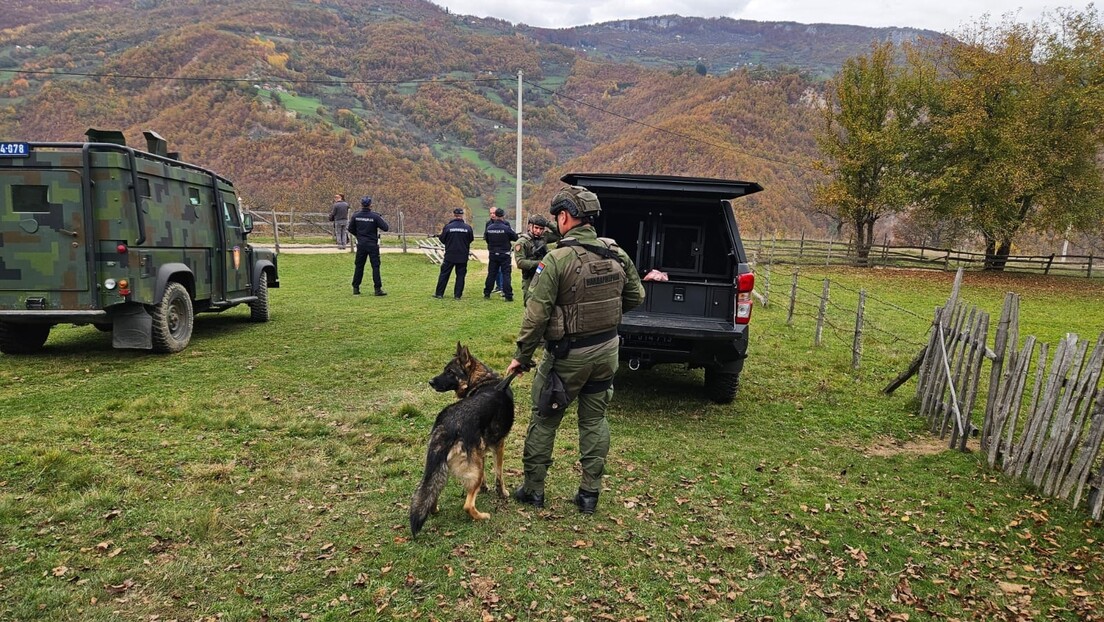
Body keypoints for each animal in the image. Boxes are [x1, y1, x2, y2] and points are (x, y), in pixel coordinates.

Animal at [410, 342, 516, 536]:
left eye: (450, 371)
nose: (430, 382)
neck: (483, 380)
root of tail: (447, 425)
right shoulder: (499, 445)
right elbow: (499, 473)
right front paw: (502, 492)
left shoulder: (483, 451)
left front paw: (485, 488)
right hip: (475, 467)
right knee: (467, 505)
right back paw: (482, 516)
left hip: (441, 467)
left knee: (432, 492)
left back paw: (434, 509)